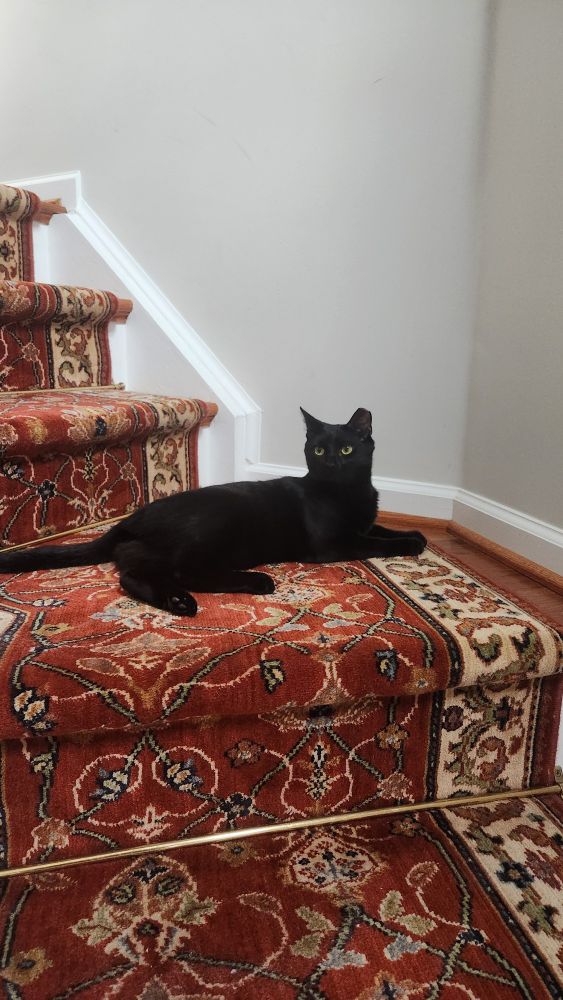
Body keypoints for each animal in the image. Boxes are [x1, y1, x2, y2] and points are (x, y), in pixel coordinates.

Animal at [0, 407, 426, 615]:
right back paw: (253, 582)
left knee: (133, 572)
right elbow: (375, 542)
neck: (348, 491)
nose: (333, 462)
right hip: (214, 530)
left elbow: (381, 529)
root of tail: (132, 519)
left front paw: (415, 535)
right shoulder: (334, 543)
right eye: (319, 450)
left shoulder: (363, 523)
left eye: (347, 449)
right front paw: (410, 544)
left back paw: (178, 602)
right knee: (181, 571)